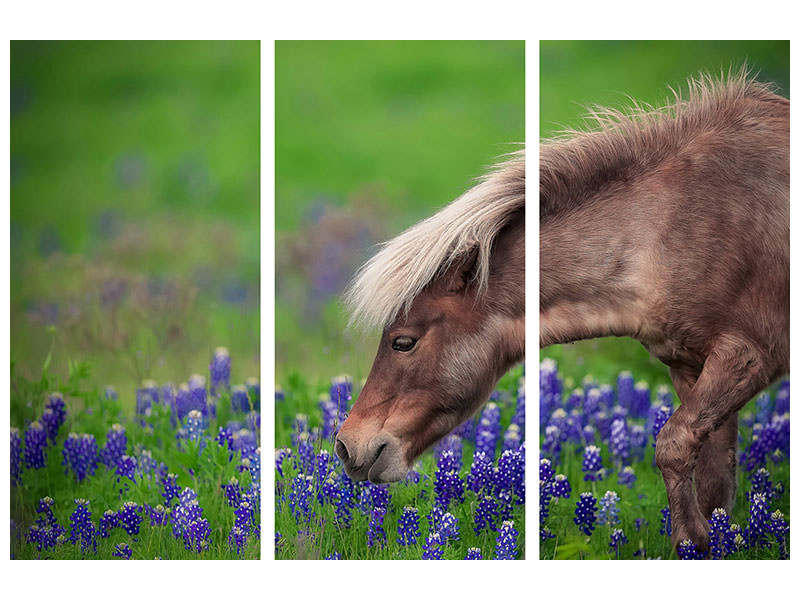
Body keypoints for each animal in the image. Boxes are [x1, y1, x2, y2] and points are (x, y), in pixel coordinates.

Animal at [540, 71, 792, 552]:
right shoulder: (689, 363)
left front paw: (692, 539)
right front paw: (713, 540)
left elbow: (673, 443)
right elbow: (714, 473)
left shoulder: (751, 352)